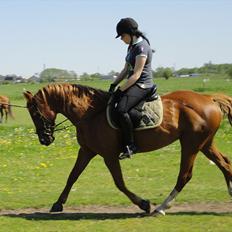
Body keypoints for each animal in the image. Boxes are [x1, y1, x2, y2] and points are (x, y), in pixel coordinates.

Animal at [23, 83, 232, 216]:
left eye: (34, 113)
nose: (45, 139)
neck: (90, 113)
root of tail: (209, 98)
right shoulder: (87, 151)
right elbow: (72, 176)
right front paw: (58, 204)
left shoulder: (109, 155)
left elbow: (119, 183)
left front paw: (144, 204)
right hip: (205, 144)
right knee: (225, 163)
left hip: (191, 144)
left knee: (185, 175)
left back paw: (161, 208)